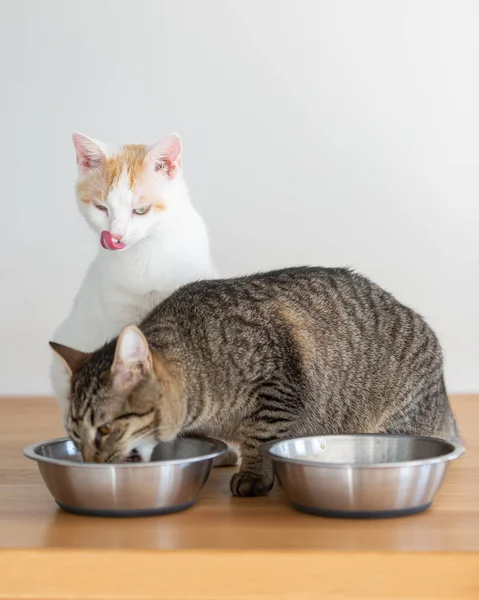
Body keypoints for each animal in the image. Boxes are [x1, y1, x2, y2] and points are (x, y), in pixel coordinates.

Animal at [49, 268, 462, 496]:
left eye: (104, 429)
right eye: (75, 437)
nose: (89, 464)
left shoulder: (275, 388)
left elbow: (259, 437)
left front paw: (253, 475)